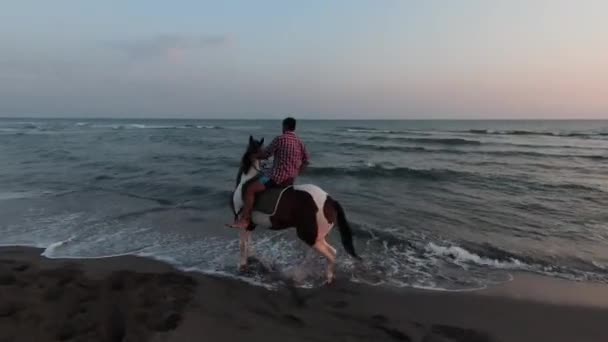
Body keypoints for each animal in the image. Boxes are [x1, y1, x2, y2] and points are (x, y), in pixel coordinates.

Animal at [230, 136, 358, 284]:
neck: (246, 182)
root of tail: (330, 201)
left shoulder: (243, 222)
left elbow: (242, 245)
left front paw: (242, 265)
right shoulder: (251, 224)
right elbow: (248, 243)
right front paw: (251, 259)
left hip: (310, 236)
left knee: (331, 253)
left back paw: (326, 277)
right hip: (319, 236)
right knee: (325, 253)